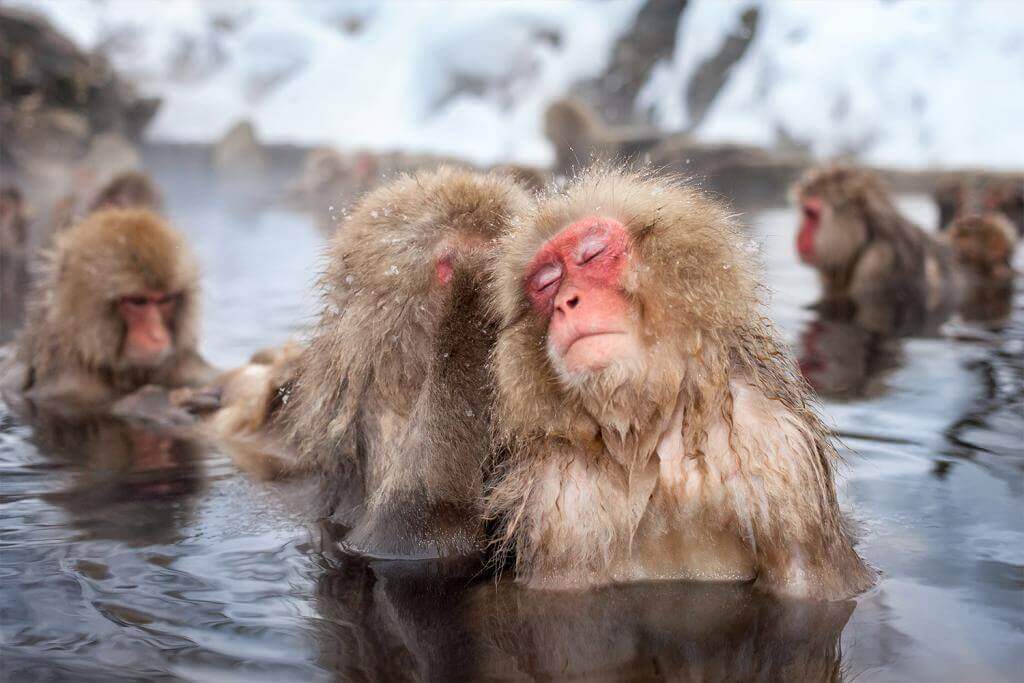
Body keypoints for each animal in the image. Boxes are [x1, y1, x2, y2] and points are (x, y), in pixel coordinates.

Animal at [485, 167, 872, 602]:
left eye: (592, 255)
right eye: (546, 283)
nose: (566, 302)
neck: (651, 435)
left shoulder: (781, 456)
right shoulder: (559, 498)